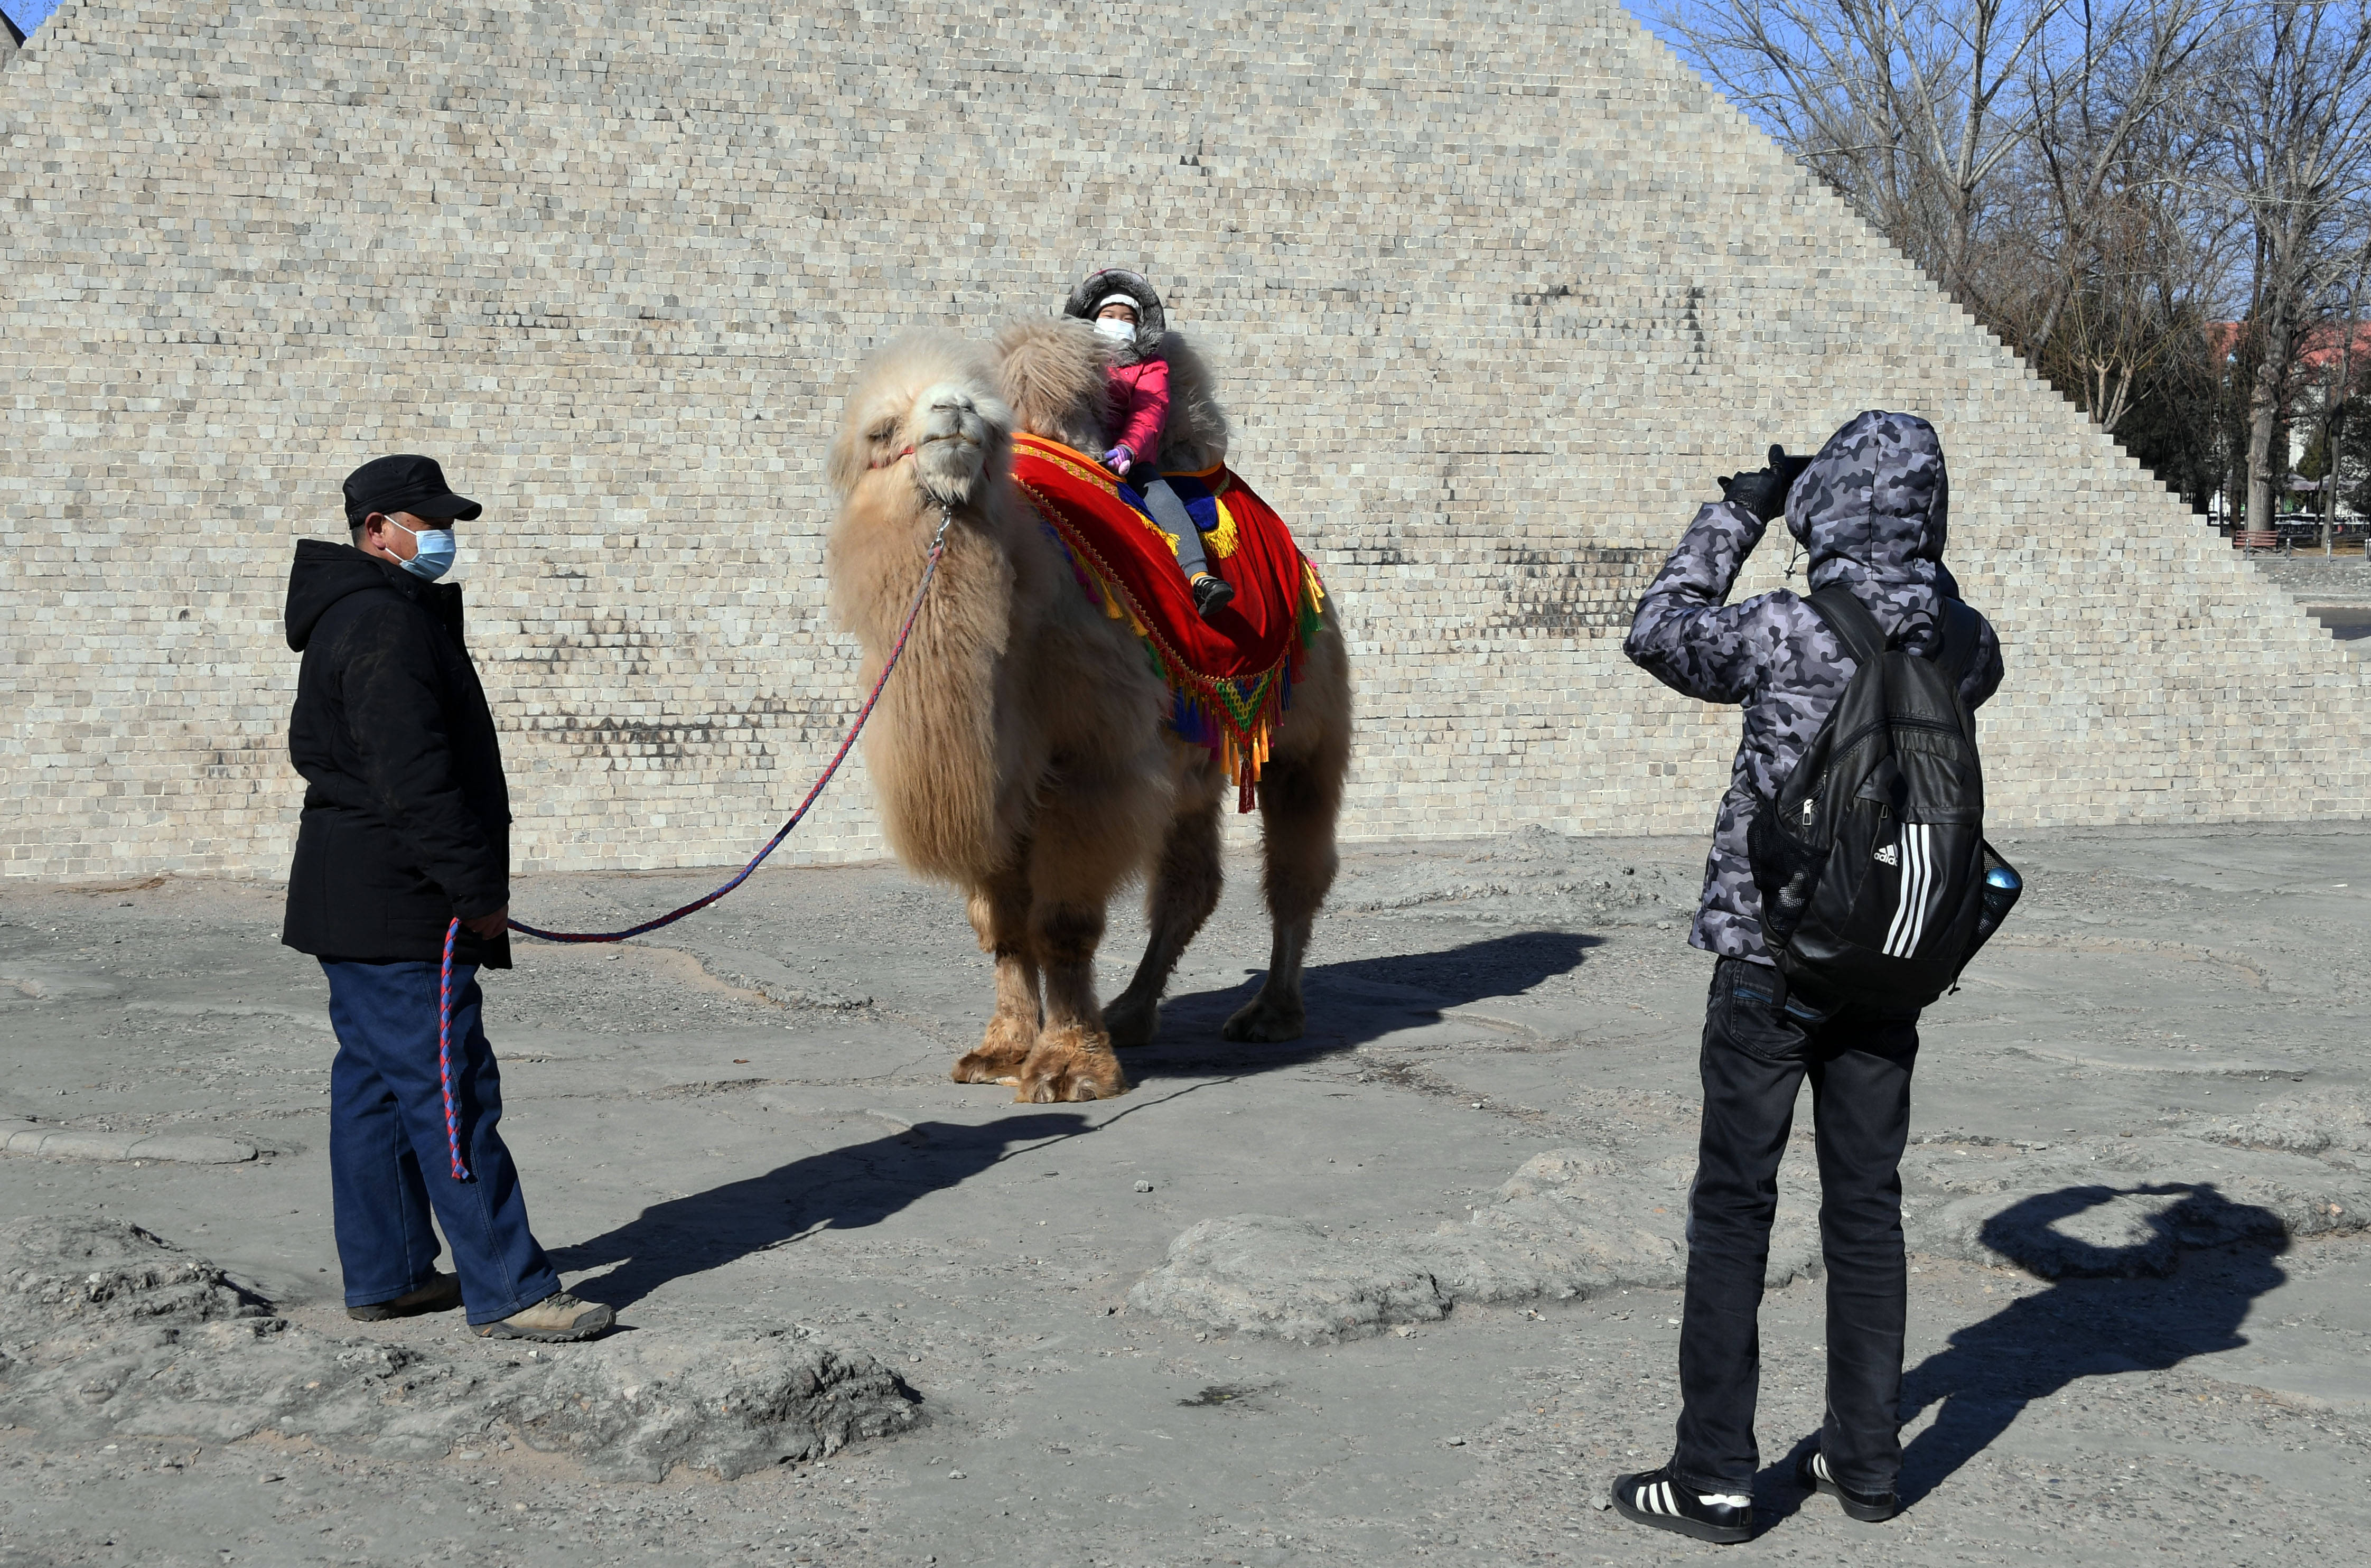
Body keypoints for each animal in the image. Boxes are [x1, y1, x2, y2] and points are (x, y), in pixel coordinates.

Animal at [825, 320, 1356, 1100]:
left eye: (989, 422)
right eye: (883, 429)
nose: (954, 409)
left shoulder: (1090, 767)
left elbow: (1064, 922)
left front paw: (1069, 1067)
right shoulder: (996, 779)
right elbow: (1003, 925)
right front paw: (1000, 1052)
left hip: (1305, 724)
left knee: (1296, 866)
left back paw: (1270, 1013)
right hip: (1193, 762)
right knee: (1191, 883)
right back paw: (1132, 1012)